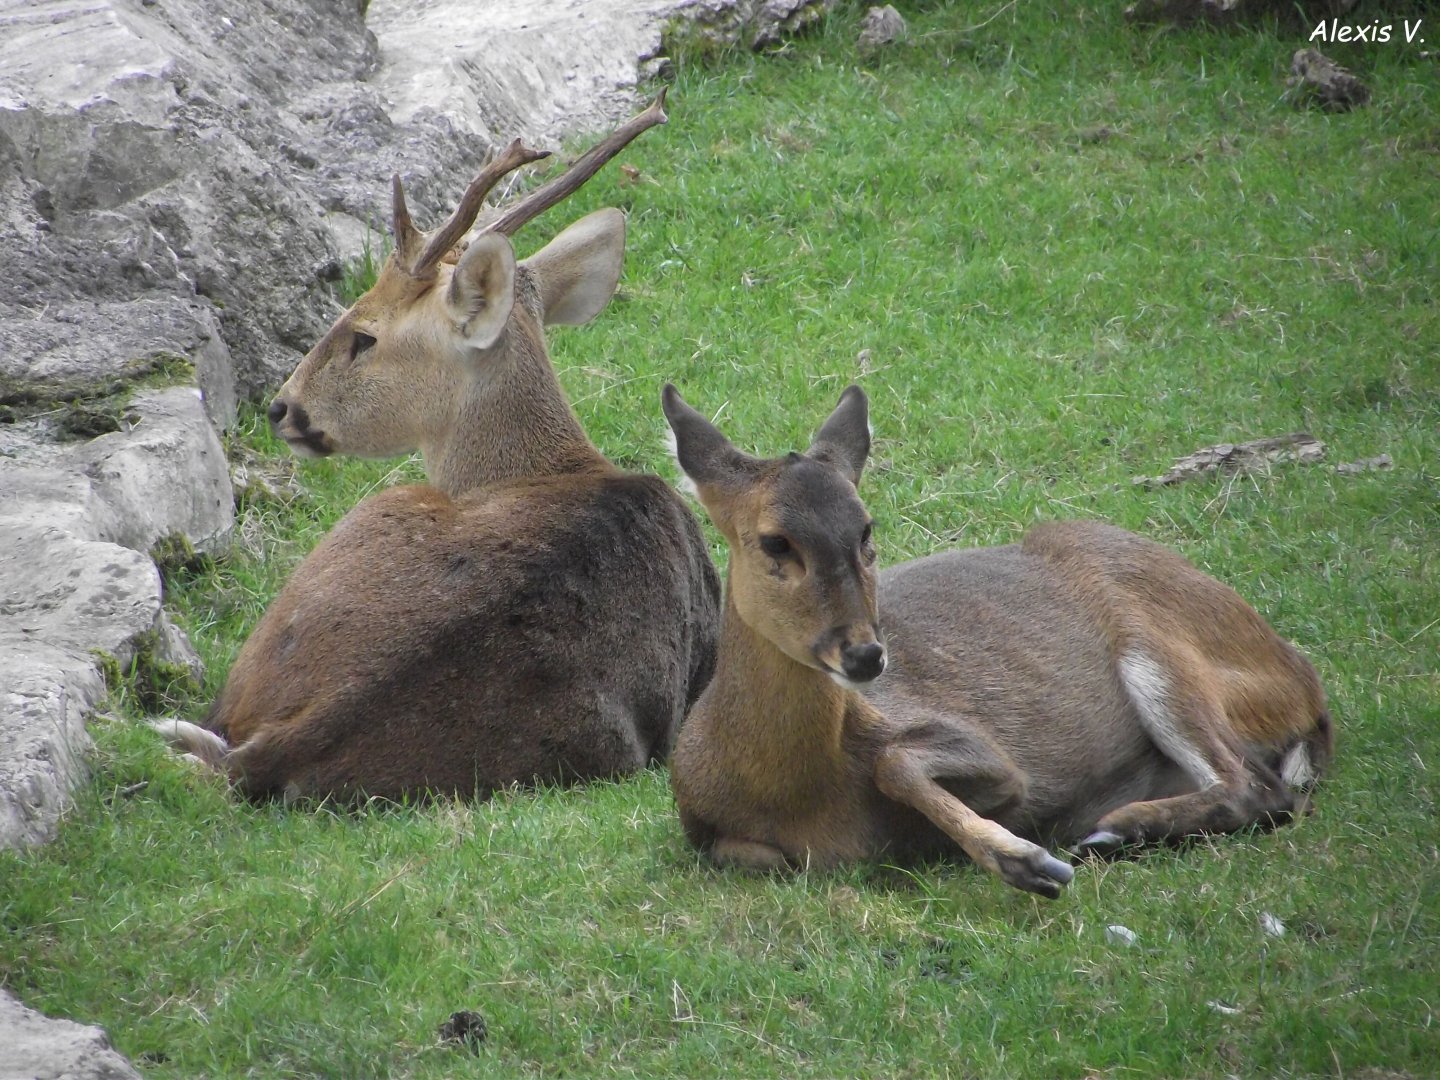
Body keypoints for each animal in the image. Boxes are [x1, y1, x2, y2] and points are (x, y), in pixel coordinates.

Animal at [660, 383, 1332, 897]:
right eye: (775, 541)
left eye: (866, 530)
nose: (866, 653)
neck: (798, 795)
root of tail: (1306, 686)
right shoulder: (713, 835)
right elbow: (759, 852)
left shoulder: (977, 744)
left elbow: (895, 762)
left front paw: (1024, 859)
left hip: (1161, 649)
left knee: (1260, 787)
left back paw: (1113, 829)